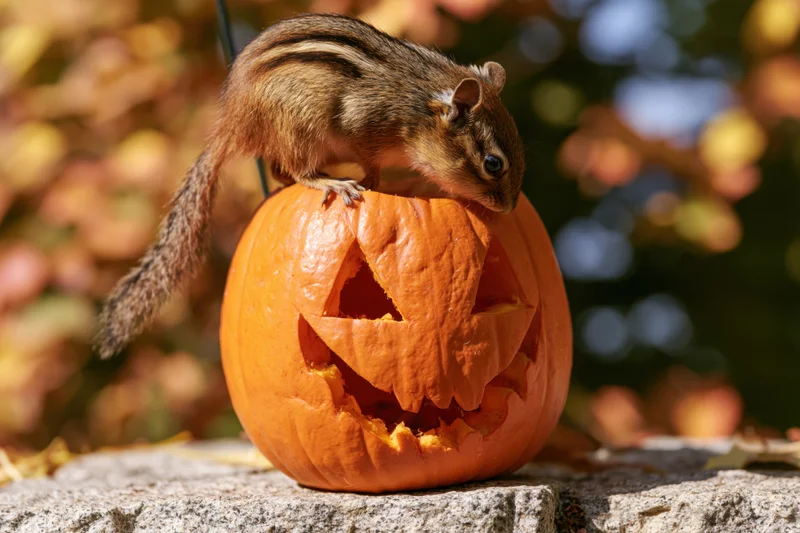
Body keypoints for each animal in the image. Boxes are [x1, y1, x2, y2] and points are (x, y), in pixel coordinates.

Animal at [94, 12, 526, 359]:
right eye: (493, 164)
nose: (508, 207)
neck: (420, 106)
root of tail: (233, 123)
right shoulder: (362, 126)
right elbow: (370, 166)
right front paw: (370, 181)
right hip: (303, 125)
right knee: (296, 172)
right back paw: (332, 183)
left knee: (280, 172)